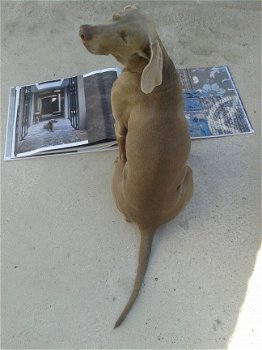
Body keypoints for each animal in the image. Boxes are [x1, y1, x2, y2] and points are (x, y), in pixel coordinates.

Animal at [79, 4, 193, 328]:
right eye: (115, 17)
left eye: (125, 36)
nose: (83, 30)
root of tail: (148, 222)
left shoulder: (118, 120)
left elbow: (120, 143)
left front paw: (119, 154)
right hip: (189, 175)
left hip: (120, 181)